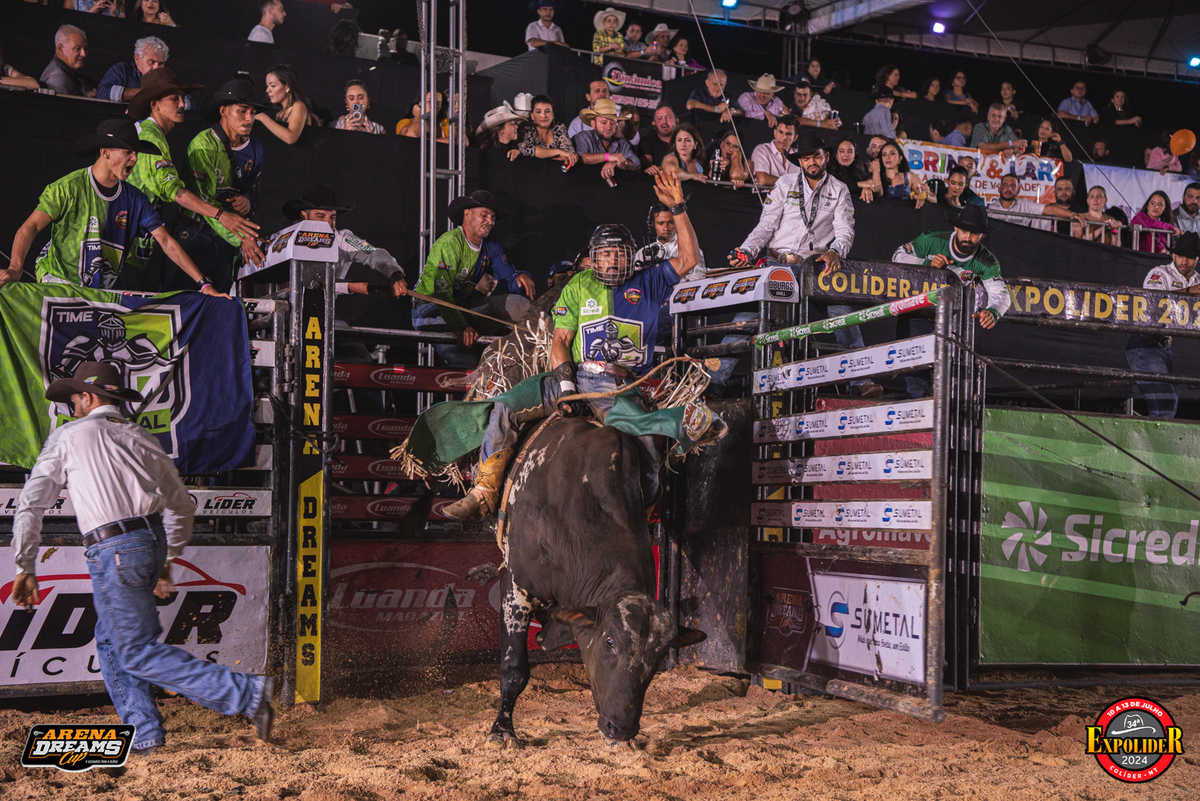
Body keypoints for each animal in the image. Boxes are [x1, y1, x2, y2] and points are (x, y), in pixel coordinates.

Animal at [487, 416, 705, 749]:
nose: (621, 728)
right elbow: (514, 670)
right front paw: (502, 731)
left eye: (658, 657)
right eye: (610, 641)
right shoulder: (516, 589)